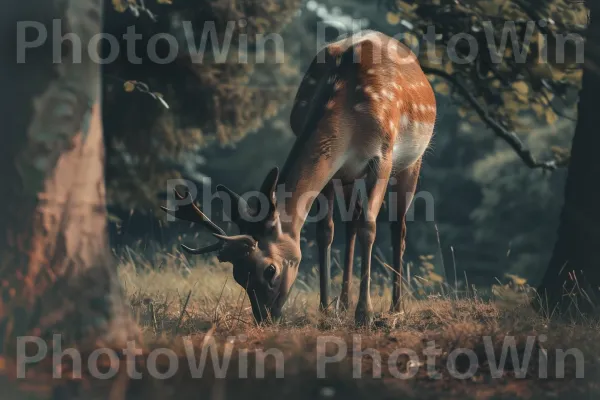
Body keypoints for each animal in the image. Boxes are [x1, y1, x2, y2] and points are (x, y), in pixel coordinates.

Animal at [162, 29, 436, 326]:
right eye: (238, 276)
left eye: (270, 270)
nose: (265, 318)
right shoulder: (335, 171)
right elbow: (325, 231)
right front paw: (325, 307)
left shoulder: (382, 157)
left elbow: (369, 227)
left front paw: (365, 314)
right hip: (351, 176)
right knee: (350, 224)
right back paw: (343, 303)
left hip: (413, 161)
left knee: (398, 227)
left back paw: (396, 307)